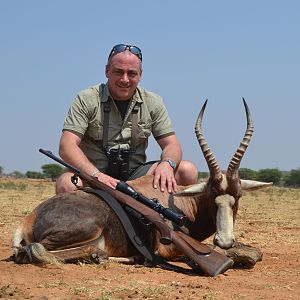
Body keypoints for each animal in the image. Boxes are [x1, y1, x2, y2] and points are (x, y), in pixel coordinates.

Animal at [11, 99, 272, 266]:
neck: (180, 205)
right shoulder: (169, 248)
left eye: (237, 196)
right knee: (33, 250)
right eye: (211, 195)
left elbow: (254, 251)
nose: (225, 240)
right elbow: (235, 254)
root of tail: (28, 218)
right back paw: (101, 256)